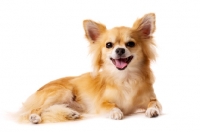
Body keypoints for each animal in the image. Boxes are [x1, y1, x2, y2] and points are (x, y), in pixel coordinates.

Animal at [17, 12, 162, 123]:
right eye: (109, 45)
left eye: (131, 44)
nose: (120, 50)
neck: (125, 77)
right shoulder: (101, 103)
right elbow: (110, 105)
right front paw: (115, 111)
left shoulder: (152, 98)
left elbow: (154, 103)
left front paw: (152, 110)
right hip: (62, 92)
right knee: (37, 109)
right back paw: (34, 117)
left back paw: (70, 114)